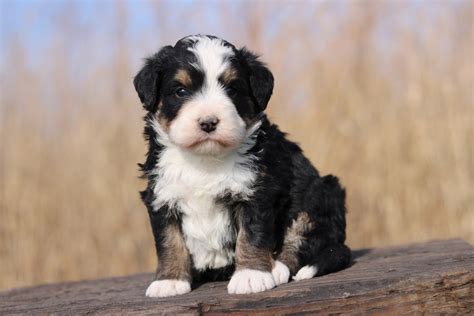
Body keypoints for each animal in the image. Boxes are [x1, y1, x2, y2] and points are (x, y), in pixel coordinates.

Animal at [133, 35, 352, 298]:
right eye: (180, 91)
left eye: (232, 89)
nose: (208, 122)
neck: (205, 160)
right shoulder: (162, 195)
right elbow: (169, 241)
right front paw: (169, 281)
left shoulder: (256, 191)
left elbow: (251, 235)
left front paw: (251, 275)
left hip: (321, 193)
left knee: (302, 240)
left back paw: (276, 268)